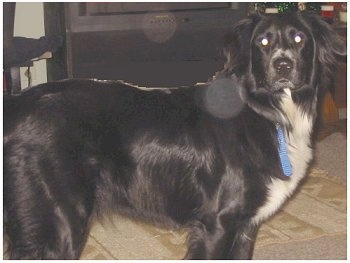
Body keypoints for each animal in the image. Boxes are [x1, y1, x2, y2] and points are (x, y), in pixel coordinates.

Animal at [4, 11, 346, 260]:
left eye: (299, 39)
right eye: (263, 41)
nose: (283, 65)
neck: (264, 109)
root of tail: (18, 104)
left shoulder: (245, 225)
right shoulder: (218, 223)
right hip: (60, 222)